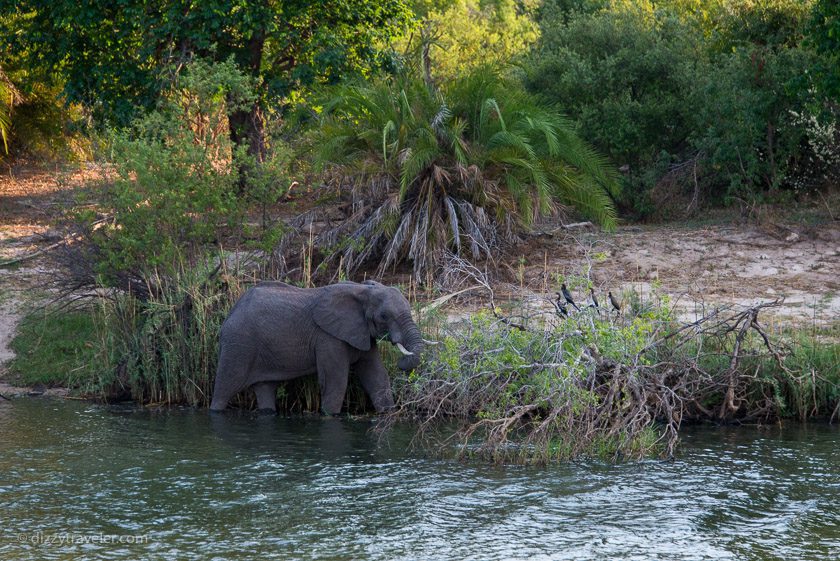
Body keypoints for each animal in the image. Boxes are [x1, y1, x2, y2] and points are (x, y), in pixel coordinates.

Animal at [210, 282, 420, 414]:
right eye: (384, 316)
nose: (401, 362)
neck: (363, 290)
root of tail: (230, 313)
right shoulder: (328, 337)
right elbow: (336, 382)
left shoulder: (361, 333)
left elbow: (377, 377)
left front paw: (388, 414)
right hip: (238, 344)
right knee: (225, 387)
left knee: (265, 388)